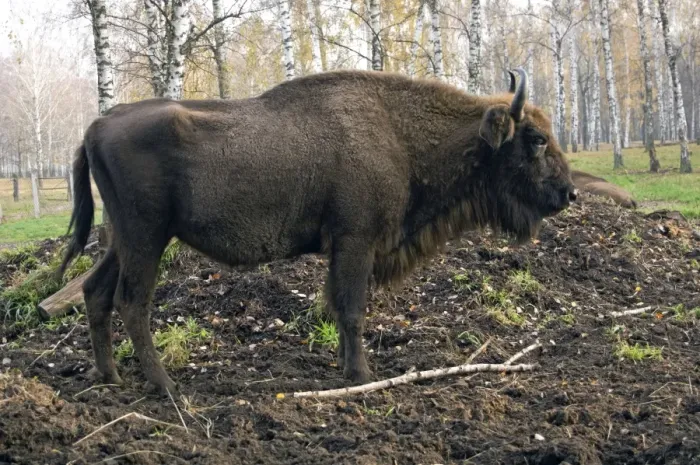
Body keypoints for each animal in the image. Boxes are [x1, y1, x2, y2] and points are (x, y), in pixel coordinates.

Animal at [60, 68, 576, 396]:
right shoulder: (355, 241)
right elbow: (352, 309)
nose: (568, 193)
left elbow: (339, 307)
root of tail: (97, 125)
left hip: (122, 241)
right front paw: (362, 374)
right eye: (535, 139)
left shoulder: (345, 248)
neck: (397, 131)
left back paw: (110, 377)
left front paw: (347, 367)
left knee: (94, 292)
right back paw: (165, 385)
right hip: (146, 238)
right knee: (133, 303)